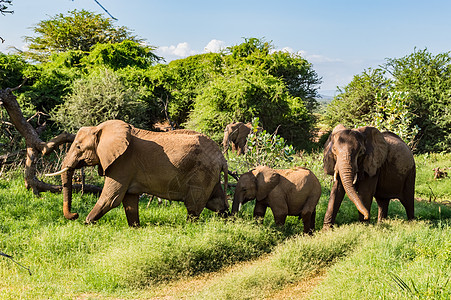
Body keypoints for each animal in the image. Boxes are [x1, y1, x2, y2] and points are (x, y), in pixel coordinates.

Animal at [46, 118, 230, 226]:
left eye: (78, 147)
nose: (75, 214)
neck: (100, 128)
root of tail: (222, 158)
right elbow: (129, 199)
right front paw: (135, 228)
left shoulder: (123, 163)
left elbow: (111, 198)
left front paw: (87, 223)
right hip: (209, 174)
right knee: (217, 202)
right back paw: (228, 221)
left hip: (201, 172)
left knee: (194, 205)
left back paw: (188, 226)